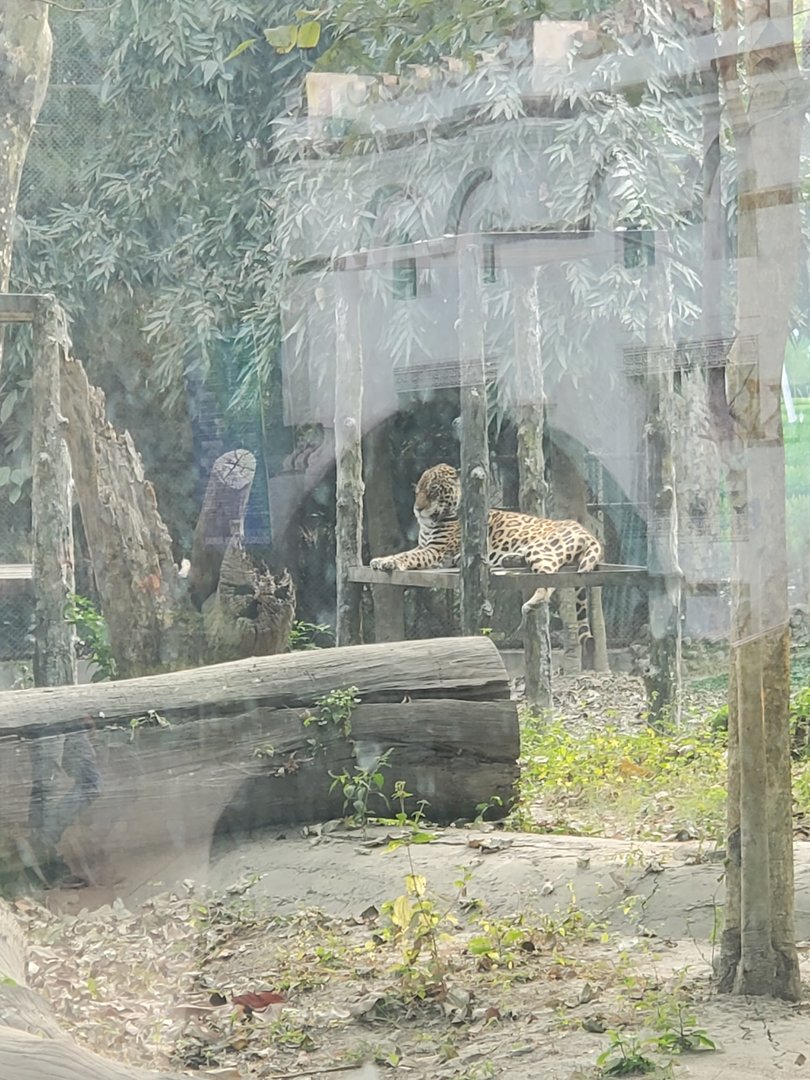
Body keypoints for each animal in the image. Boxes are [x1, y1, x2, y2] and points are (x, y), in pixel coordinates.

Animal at [370, 463, 602, 642]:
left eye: (433, 490)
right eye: (418, 491)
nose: (417, 509)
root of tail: (587, 532)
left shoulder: (436, 550)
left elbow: (409, 556)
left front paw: (390, 562)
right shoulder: (423, 545)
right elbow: (405, 552)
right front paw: (380, 560)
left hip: (541, 549)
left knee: (550, 577)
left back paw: (531, 603)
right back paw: (510, 560)